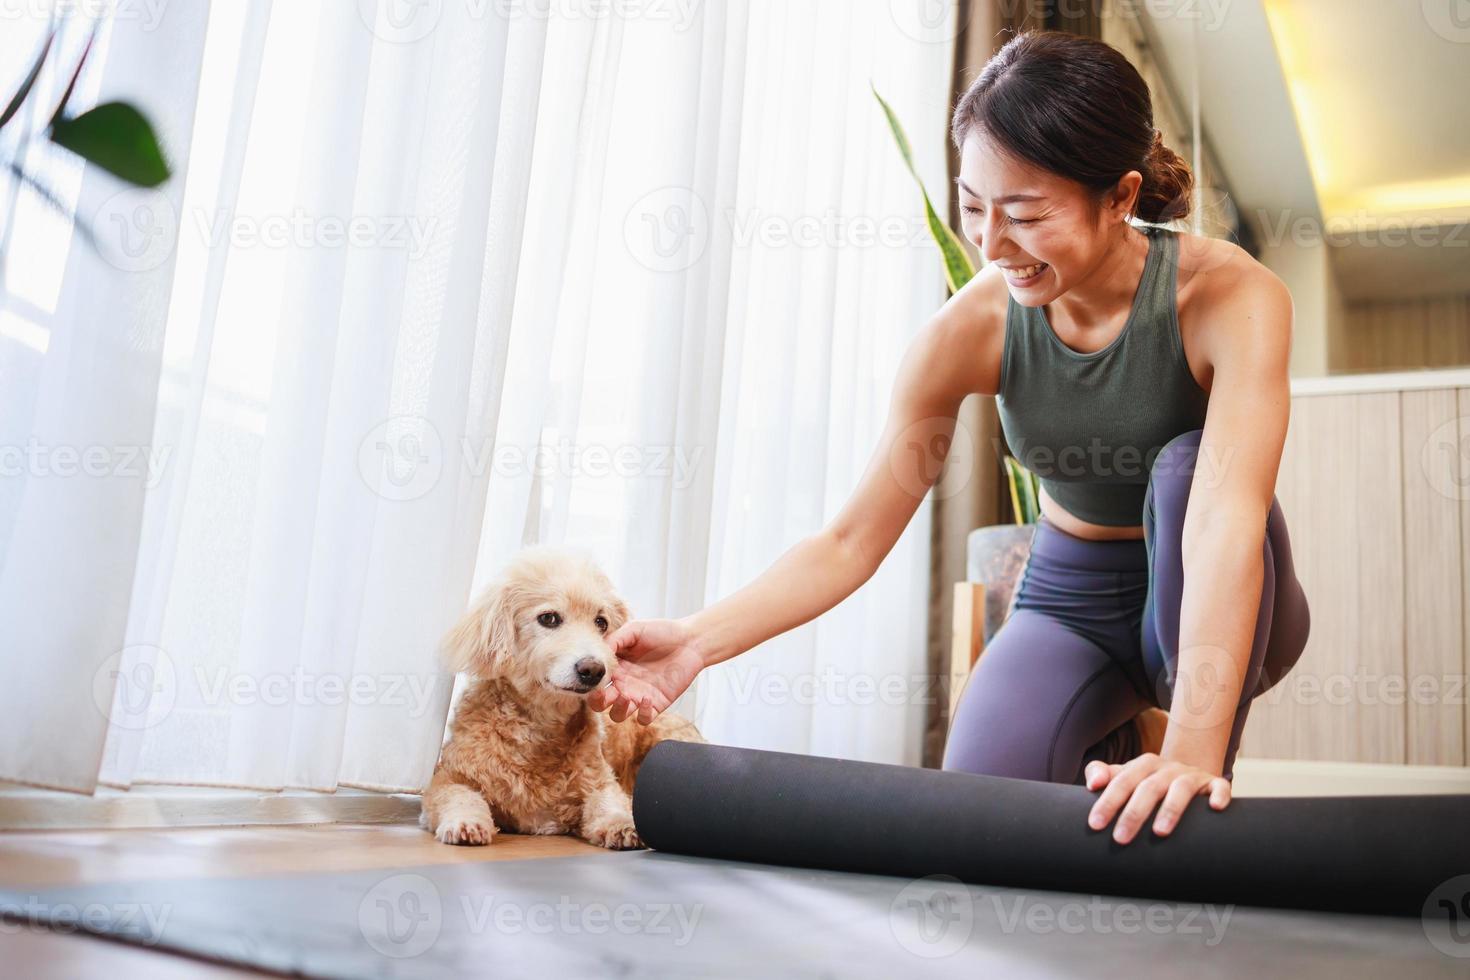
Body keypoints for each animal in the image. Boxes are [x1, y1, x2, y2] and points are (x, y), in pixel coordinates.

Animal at [423, 543, 702, 852]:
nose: (593, 669)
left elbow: (608, 802)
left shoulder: (599, 781)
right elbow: (459, 796)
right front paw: (466, 823)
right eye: (548, 618)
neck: (541, 728)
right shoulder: (449, 777)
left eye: (601, 622)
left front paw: (622, 825)